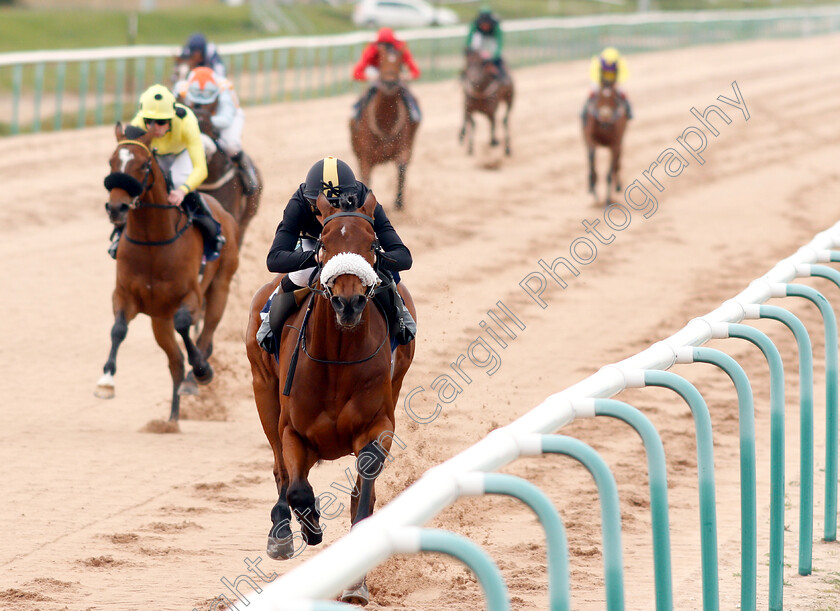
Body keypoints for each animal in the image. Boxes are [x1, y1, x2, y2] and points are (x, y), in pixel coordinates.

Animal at [96, 124, 240, 420]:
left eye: (143, 164)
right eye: (111, 161)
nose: (117, 208)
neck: (153, 242)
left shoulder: (191, 296)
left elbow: (185, 325)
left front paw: (201, 371)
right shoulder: (125, 295)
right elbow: (118, 329)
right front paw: (106, 381)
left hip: (220, 287)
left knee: (205, 337)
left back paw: (194, 378)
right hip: (158, 319)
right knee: (175, 361)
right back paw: (172, 420)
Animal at [244, 192, 416, 608]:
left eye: (372, 244)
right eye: (323, 242)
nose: (348, 303)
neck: (337, 358)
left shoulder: (378, 425)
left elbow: (365, 491)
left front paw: (356, 581)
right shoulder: (293, 431)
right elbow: (296, 486)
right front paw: (308, 525)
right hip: (263, 390)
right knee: (279, 470)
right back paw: (282, 531)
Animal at [350, 43, 418, 210]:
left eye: (399, 62)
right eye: (381, 61)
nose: (389, 83)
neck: (385, 122)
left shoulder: (403, 149)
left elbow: (401, 169)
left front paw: (398, 203)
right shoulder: (365, 157)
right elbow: (366, 178)